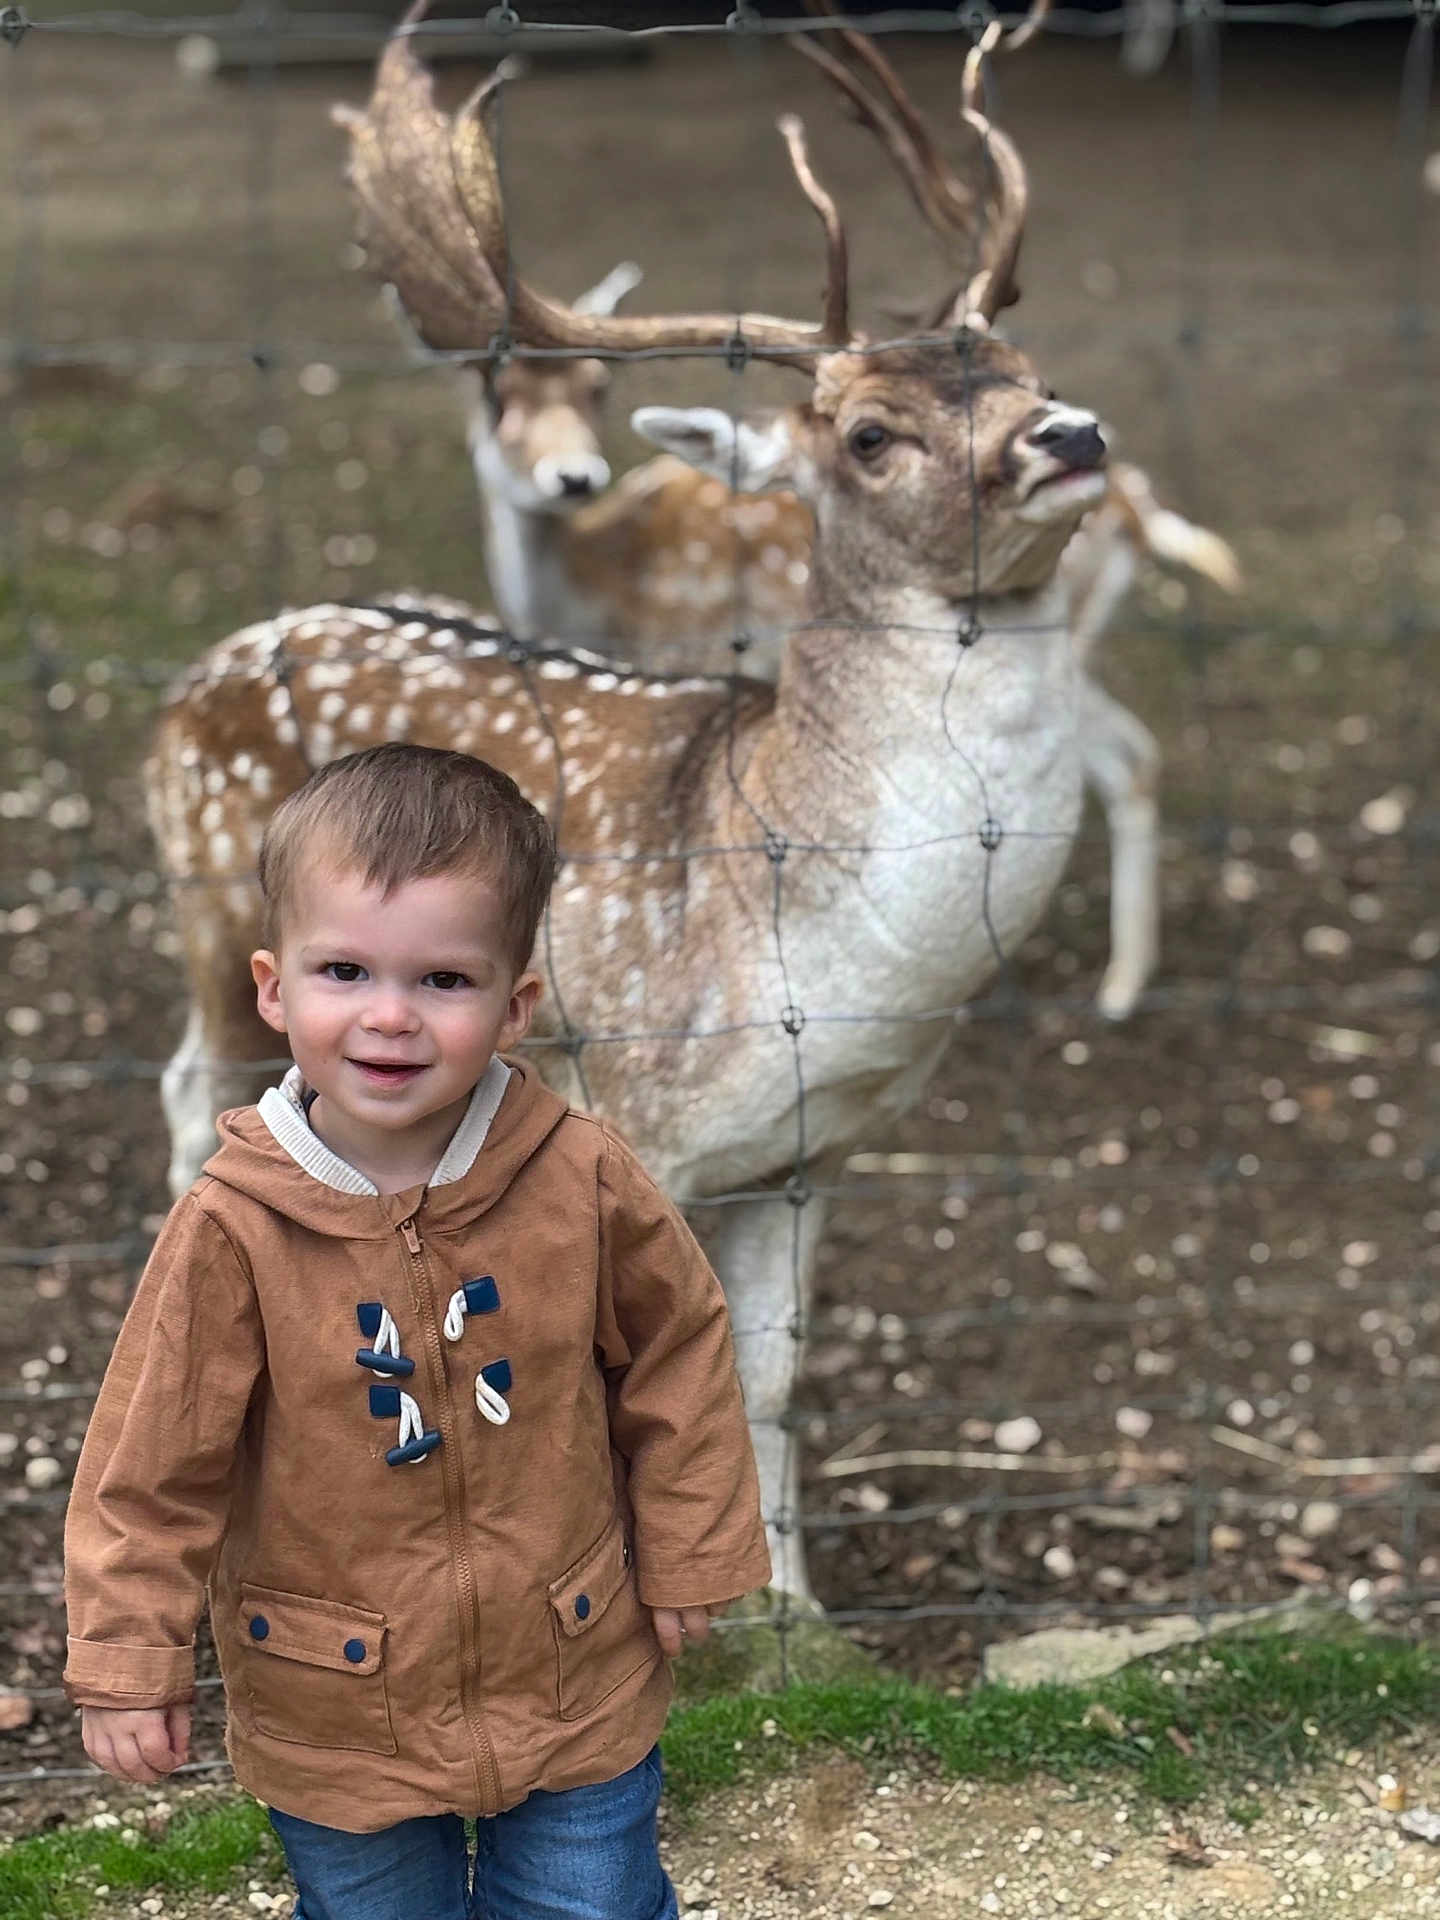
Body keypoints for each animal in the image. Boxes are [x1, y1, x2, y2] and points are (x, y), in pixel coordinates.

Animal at [147, 9, 1119, 1605]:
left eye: (1026, 364)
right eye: (867, 433)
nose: (1074, 435)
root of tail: (194, 674)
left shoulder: (809, 1154)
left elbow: (770, 1374)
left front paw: (791, 1600)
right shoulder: (645, 1110)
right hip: (221, 912)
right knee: (190, 1097)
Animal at [396, 31, 1238, 1023]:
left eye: (597, 389)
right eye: (496, 402)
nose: (1070, 433)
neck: (596, 595)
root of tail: (1141, 509)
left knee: (1126, 755)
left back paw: (1117, 984)